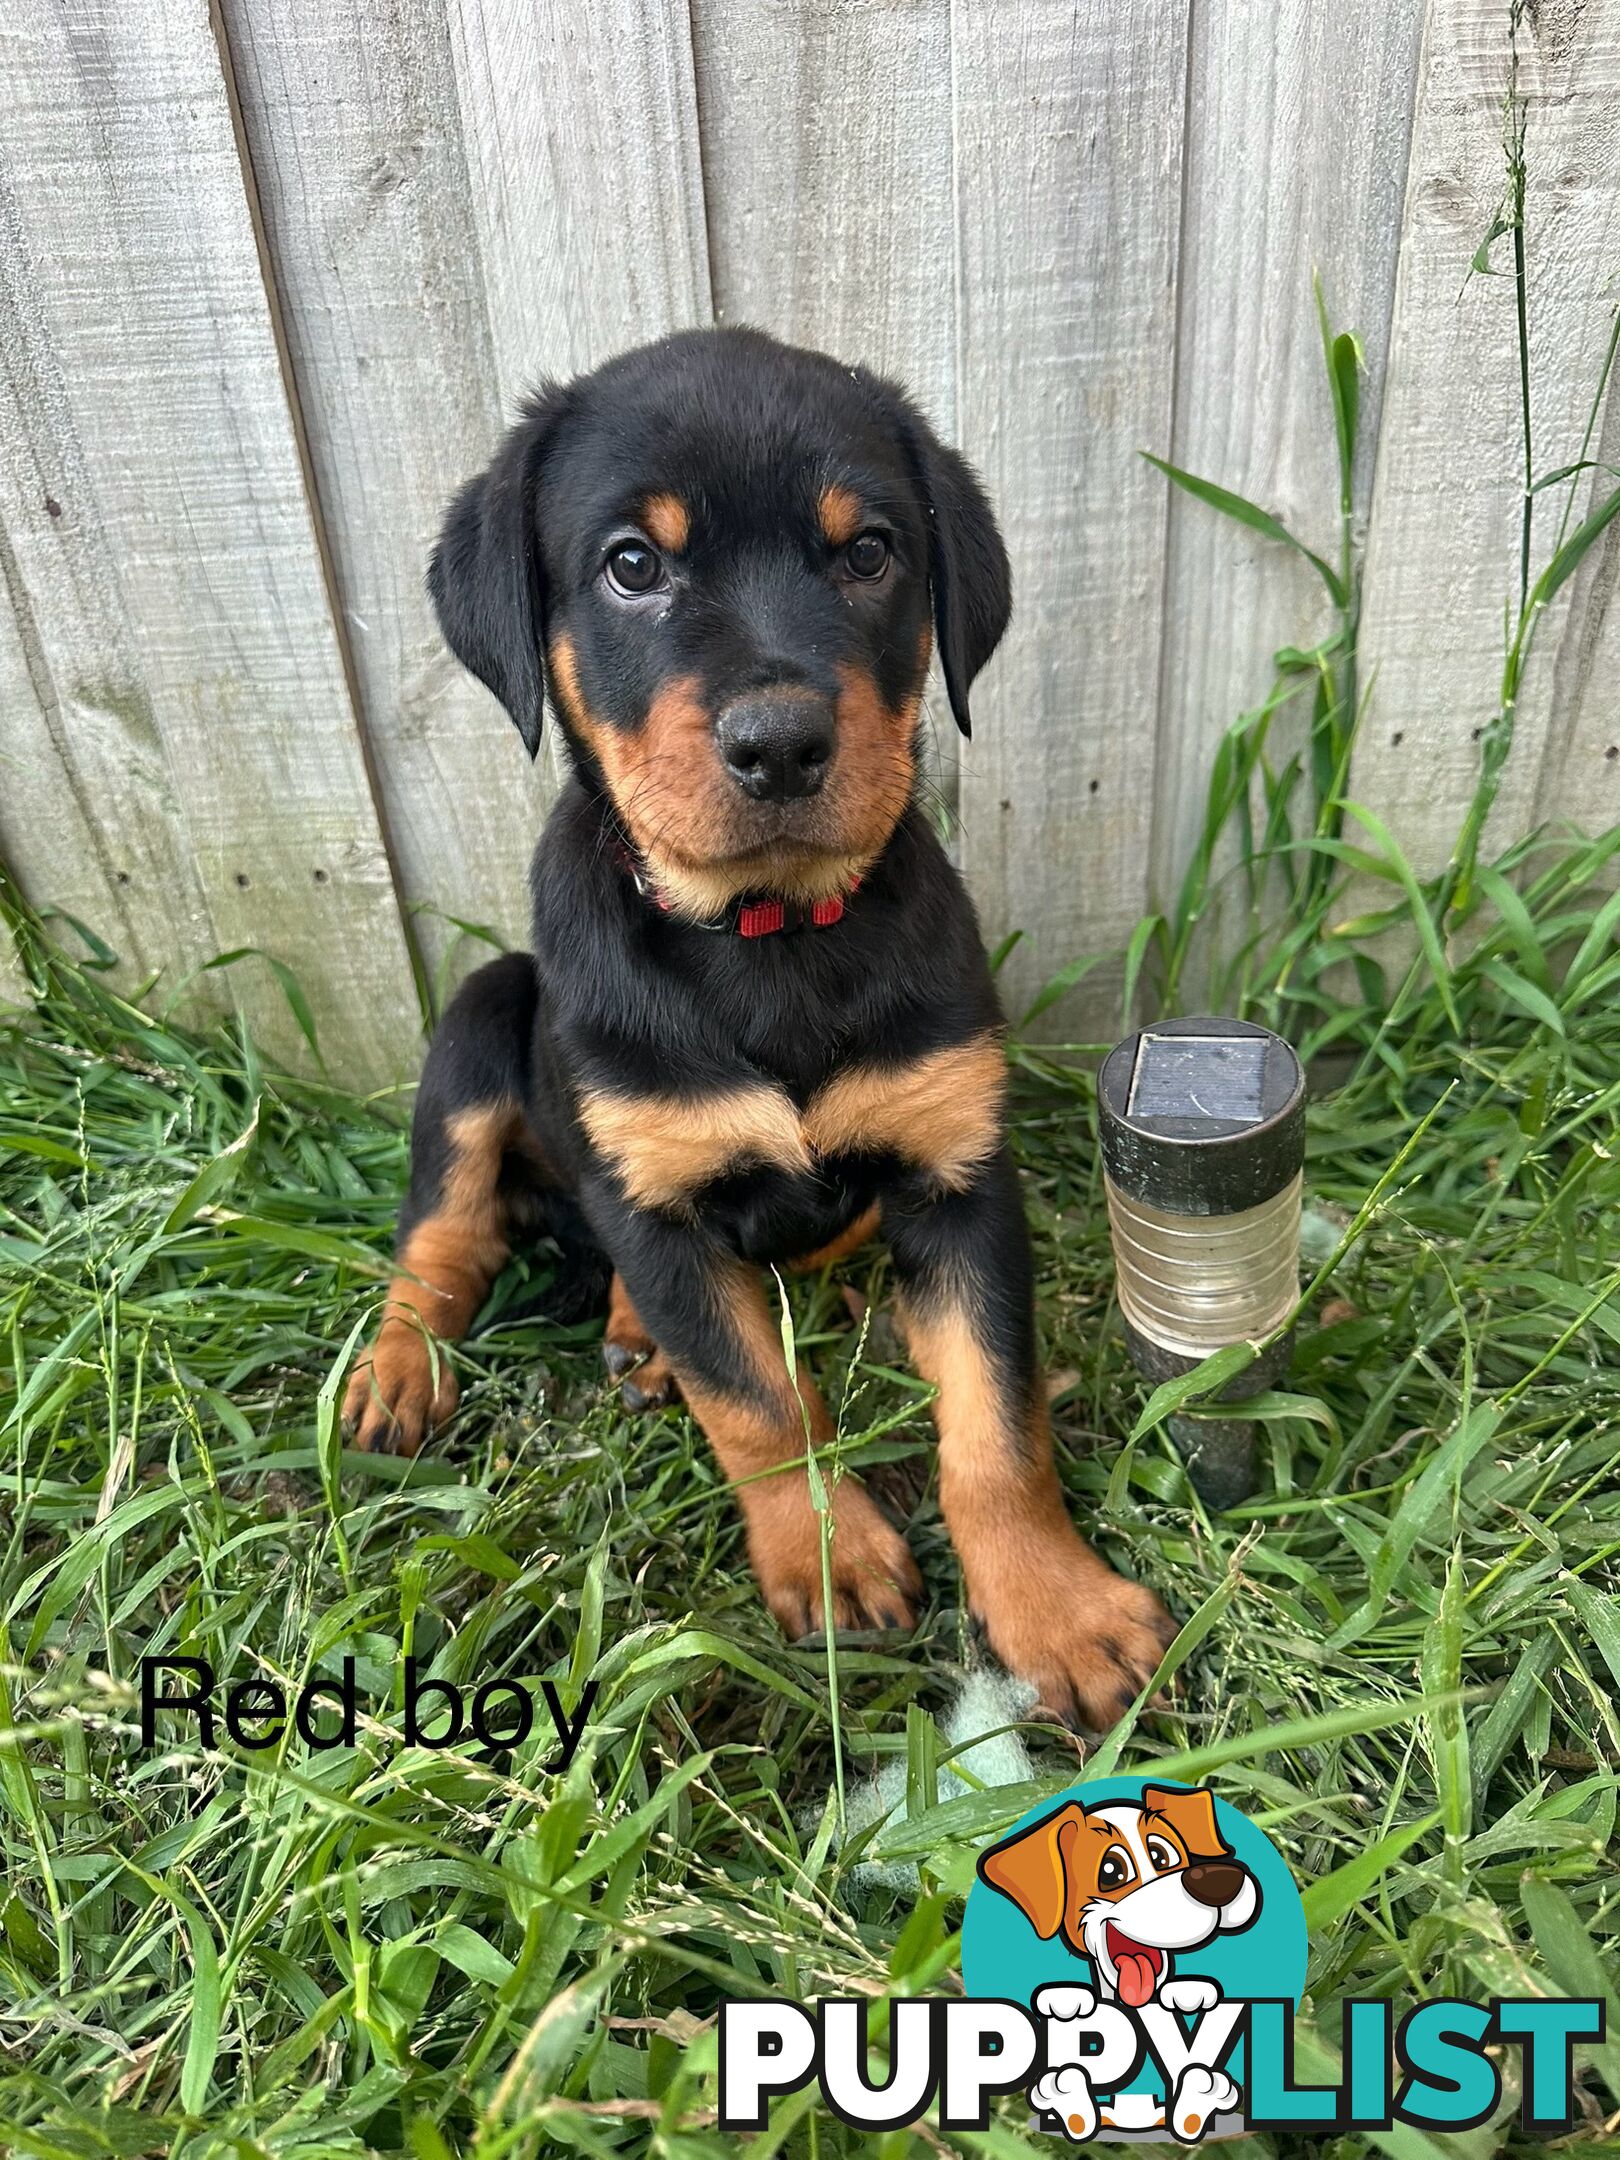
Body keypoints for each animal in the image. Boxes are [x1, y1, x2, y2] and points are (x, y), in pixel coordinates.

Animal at [345, 328, 1183, 1728]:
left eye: (870, 553)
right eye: (633, 565)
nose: (780, 744)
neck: (769, 937)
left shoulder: (959, 1173)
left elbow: (996, 1420)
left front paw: (1056, 1610)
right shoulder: (649, 1193)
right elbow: (756, 1407)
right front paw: (832, 1560)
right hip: (481, 1018)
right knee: (445, 1237)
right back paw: (402, 1374)